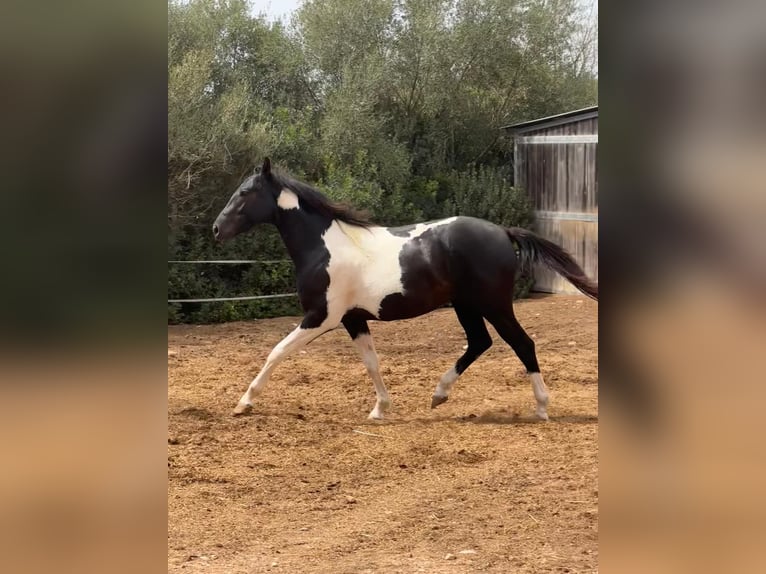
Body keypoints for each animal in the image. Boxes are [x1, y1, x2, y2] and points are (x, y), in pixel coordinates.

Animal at [214, 160, 600, 420]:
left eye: (245, 192)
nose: (217, 229)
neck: (323, 247)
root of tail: (503, 232)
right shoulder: (353, 319)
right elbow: (371, 362)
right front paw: (380, 409)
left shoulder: (321, 317)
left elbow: (276, 352)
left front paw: (244, 402)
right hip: (466, 305)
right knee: (480, 342)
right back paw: (438, 395)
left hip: (494, 304)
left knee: (522, 343)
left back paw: (541, 407)